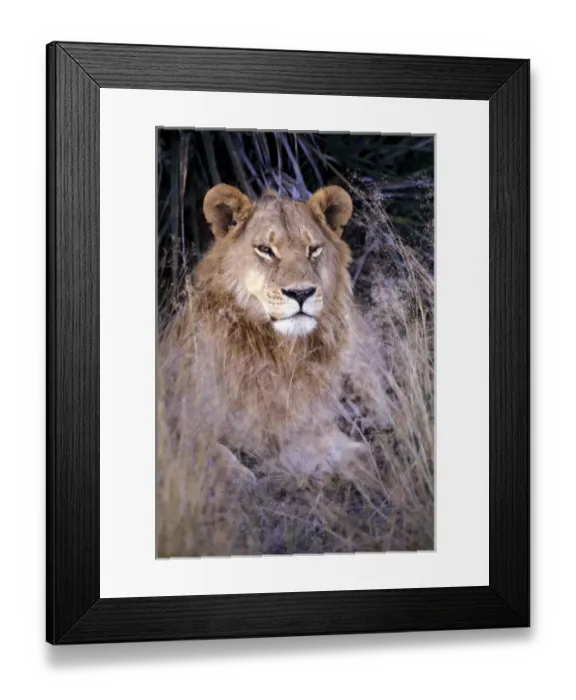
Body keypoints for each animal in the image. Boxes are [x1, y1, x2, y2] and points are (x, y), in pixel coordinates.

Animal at [162, 184, 387, 486]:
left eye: (313, 249)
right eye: (265, 250)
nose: (301, 293)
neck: (278, 352)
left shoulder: (295, 426)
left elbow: (356, 454)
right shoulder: (175, 411)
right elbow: (199, 447)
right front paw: (236, 477)